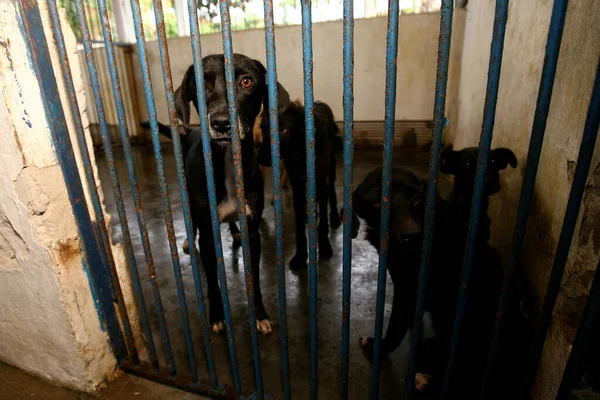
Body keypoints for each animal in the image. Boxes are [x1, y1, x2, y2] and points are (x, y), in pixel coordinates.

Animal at [350, 146, 516, 396]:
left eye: (417, 198)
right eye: (377, 201)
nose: (413, 236)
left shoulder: (408, 292)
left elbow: (396, 325)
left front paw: (381, 347)